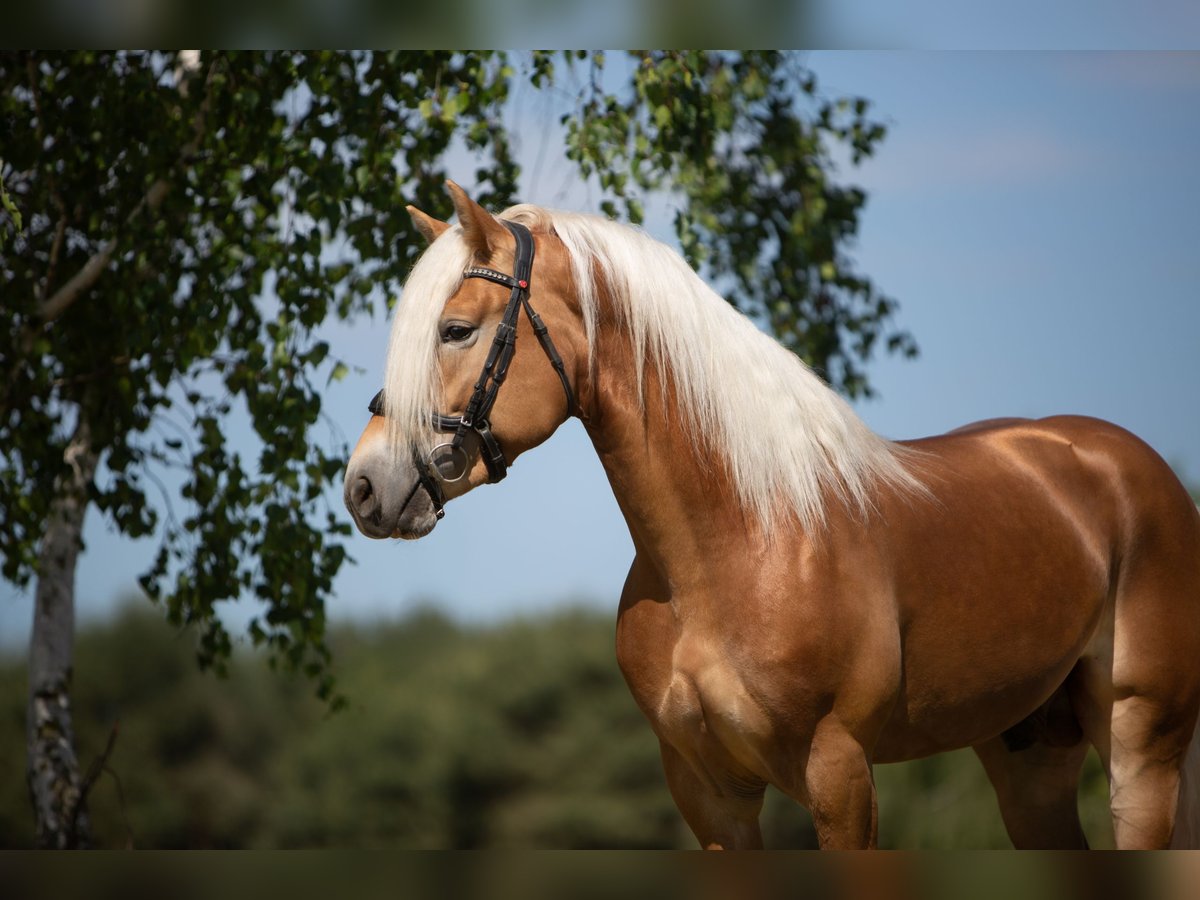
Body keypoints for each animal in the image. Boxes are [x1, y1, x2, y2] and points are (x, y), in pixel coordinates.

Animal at [345, 183, 1200, 854]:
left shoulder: (839, 775)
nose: (364, 486)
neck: (739, 544)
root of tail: (1130, 465)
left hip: (1141, 746)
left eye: (457, 329)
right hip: (1030, 756)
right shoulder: (708, 793)